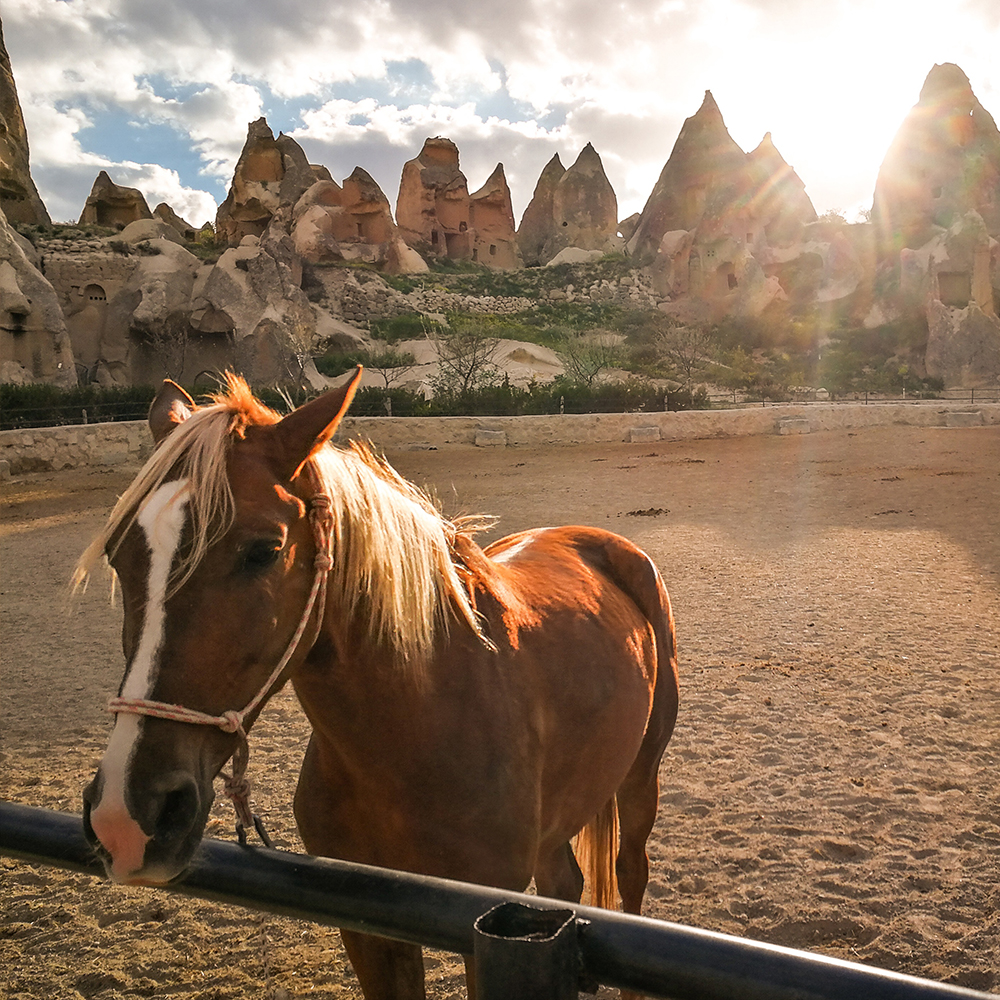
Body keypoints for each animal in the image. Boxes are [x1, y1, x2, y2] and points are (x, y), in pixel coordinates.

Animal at [78, 370, 680, 1000]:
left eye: (264, 550)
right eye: (118, 554)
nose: (126, 817)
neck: (421, 725)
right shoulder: (371, 928)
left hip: (641, 778)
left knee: (631, 875)